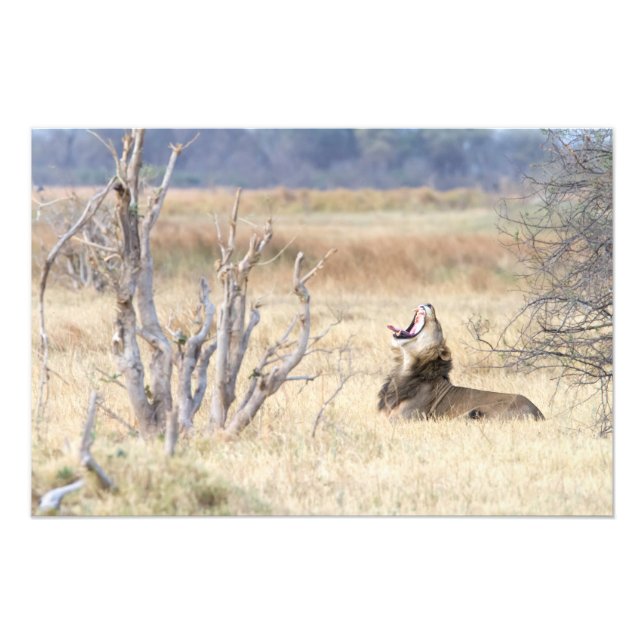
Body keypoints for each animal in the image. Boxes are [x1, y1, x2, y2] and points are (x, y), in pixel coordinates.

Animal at [378, 303, 544, 421]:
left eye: (437, 322)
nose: (429, 304)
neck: (405, 367)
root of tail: (538, 413)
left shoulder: (402, 419)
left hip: (474, 412)